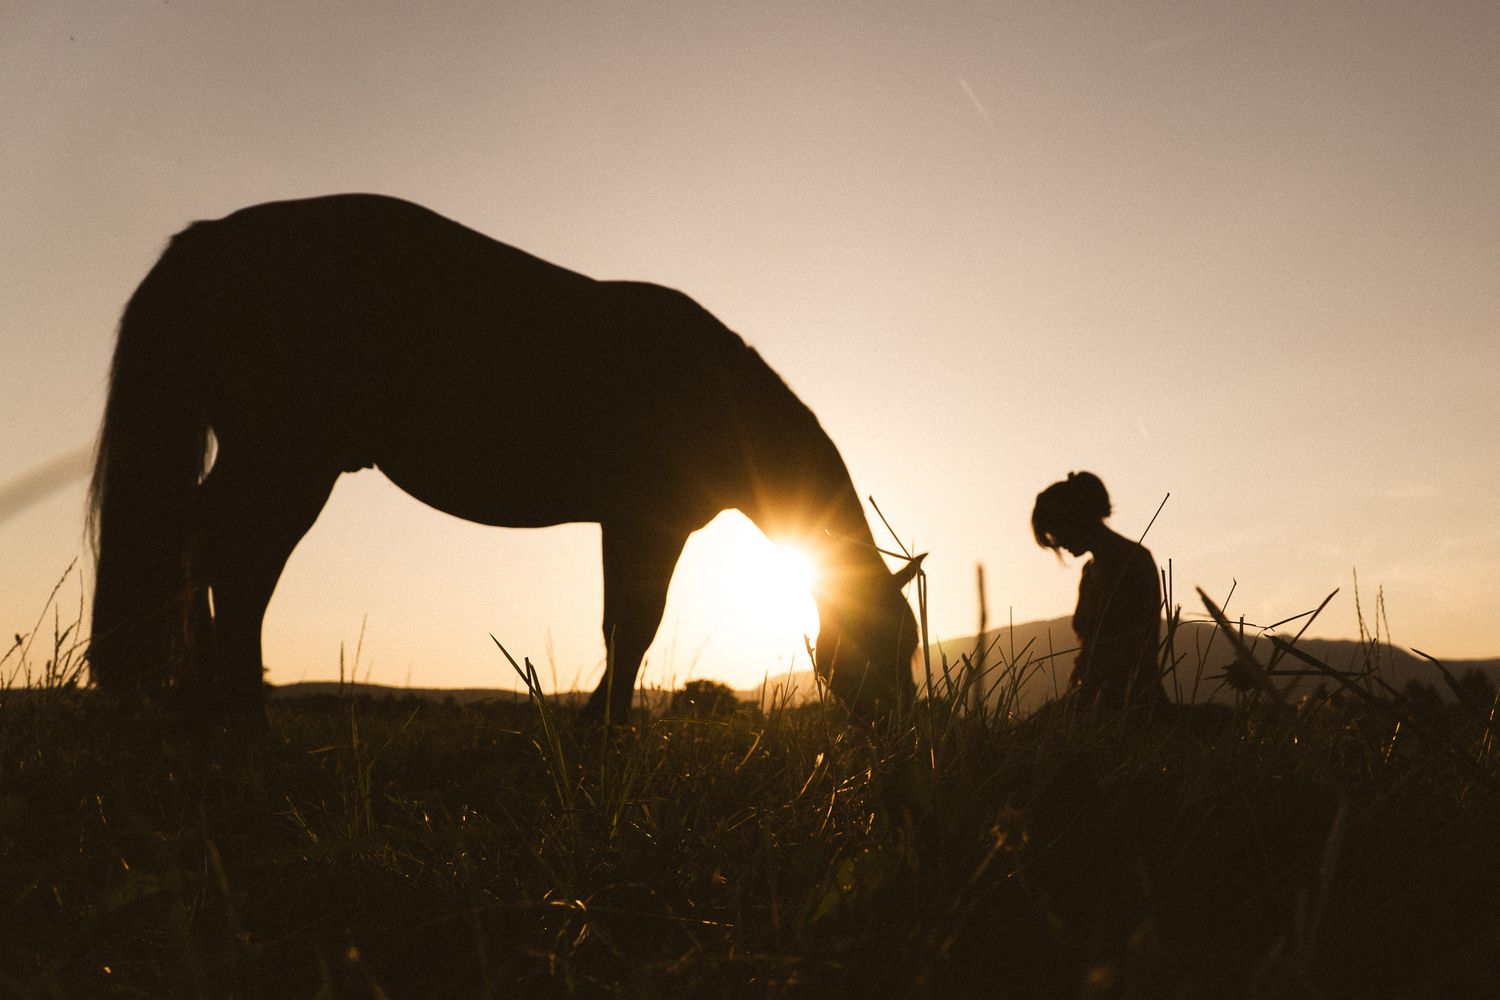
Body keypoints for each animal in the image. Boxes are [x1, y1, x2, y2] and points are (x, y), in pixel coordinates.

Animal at [87, 193, 922, 725]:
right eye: (892, 642)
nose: (903, 732)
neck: (719, 397)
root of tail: (209, 237)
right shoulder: (646, 524)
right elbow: (633, 628)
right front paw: (602, 739)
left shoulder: (629, 525)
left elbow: (625, 628)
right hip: (289, 462)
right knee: (230, 561)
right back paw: (232, 717)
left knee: (209, 553)